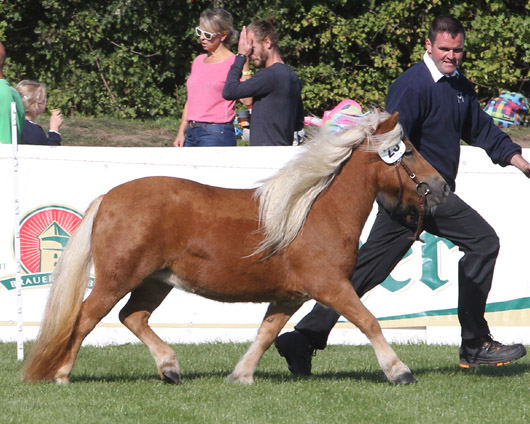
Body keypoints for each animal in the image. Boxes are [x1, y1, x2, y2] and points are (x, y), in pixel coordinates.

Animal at [23, 111, 446, 386]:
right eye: (408, 150)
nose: (442, 186)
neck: (314, 210)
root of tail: (107, 198)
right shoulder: (330, 286)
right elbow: (368, 321)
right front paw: (399, 371)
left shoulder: (289, 296)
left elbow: (266, 334)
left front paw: (241, 375)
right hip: (116, 279)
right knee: (84, 319)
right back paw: (63, 375)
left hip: (155, 281)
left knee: (133, 317)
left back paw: (170, 368)